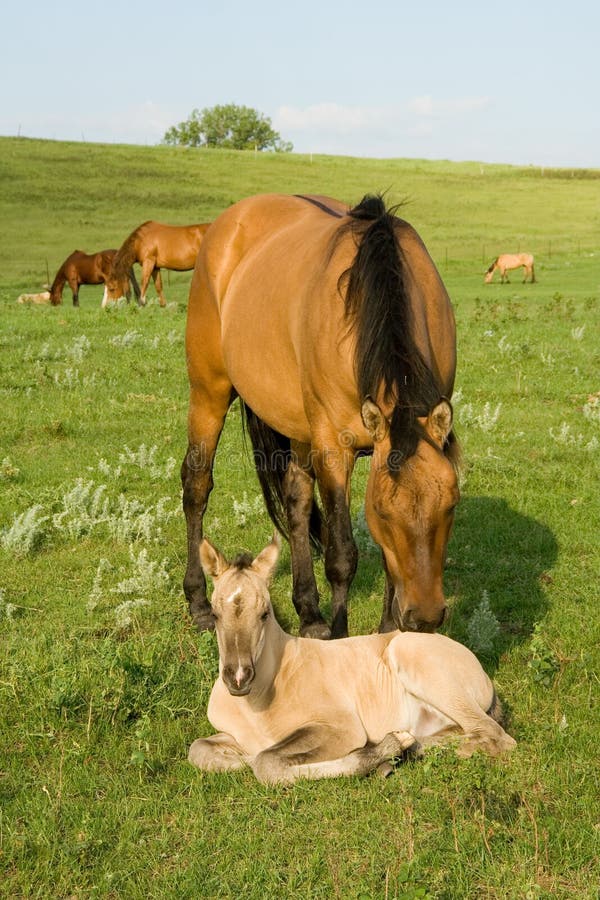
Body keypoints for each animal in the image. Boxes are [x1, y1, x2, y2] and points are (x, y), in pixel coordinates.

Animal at [183, 191, 460, 640]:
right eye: (383, 512)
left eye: (451, 505)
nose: (425, 617)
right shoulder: (334, 446)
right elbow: (341, 555)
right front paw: (342, 634)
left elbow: (386, 561)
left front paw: (386, 631)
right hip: (209, 392)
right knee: (196, 486)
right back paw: (198, 602)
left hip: (297, 427)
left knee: (295, 502)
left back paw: (310, 613)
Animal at [189, 536, 516, 784]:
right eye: (214, 615)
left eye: (264, 614)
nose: (238, 677)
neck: (259, 700)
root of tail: (479, 670)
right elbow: (200, 750)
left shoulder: (341, 728)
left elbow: (266, 762)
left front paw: (379, 751)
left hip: (421, 666)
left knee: (495, 735)